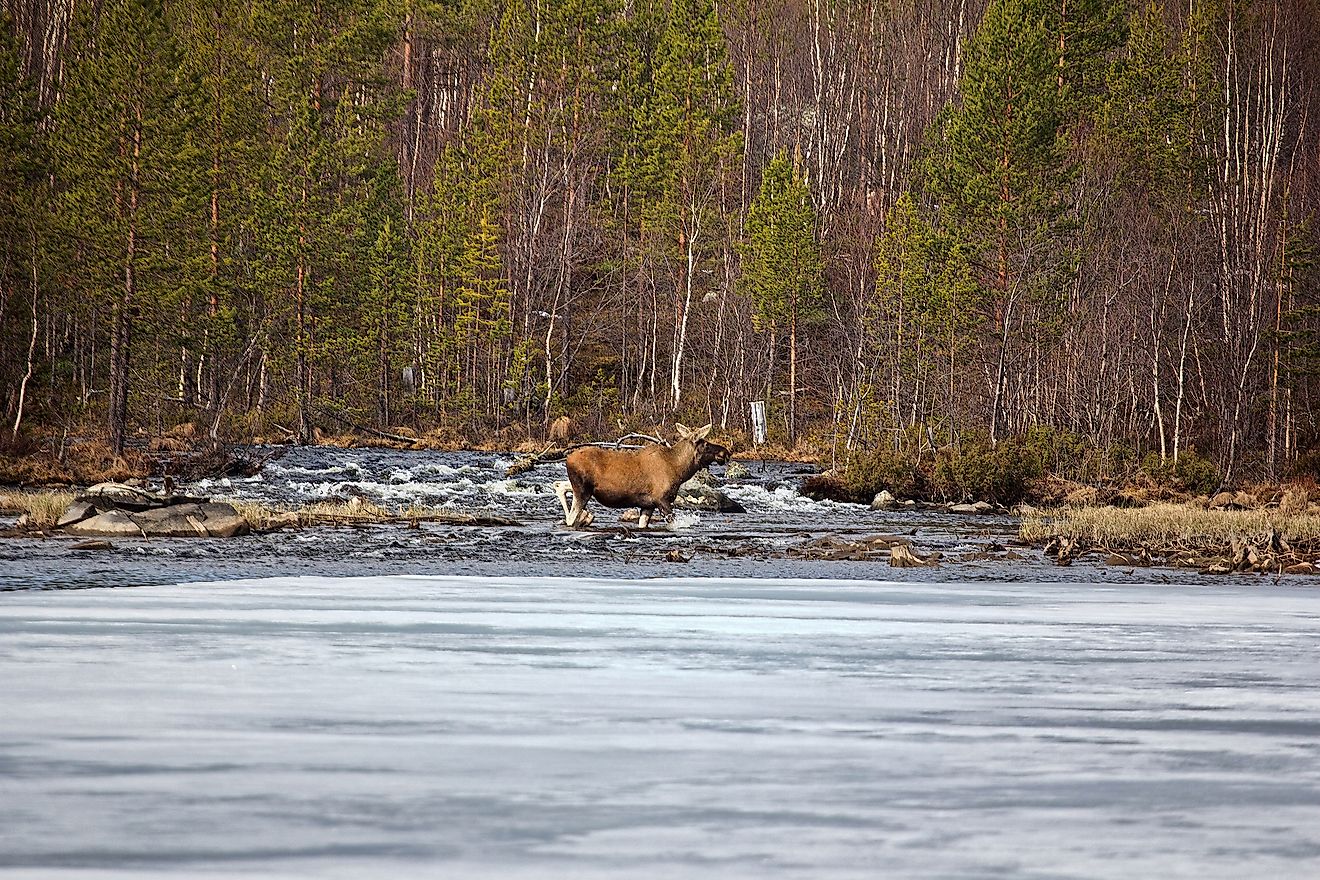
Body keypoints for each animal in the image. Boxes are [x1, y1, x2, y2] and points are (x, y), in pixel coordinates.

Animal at [551, 422, 728, 527]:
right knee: (571, 516)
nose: (725, 452)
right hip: (583, 490)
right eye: (705, 444)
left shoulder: (647, 505)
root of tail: (567, 458)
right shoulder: (662, 500)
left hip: (579, 487)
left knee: (559, 485)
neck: (679, 470)